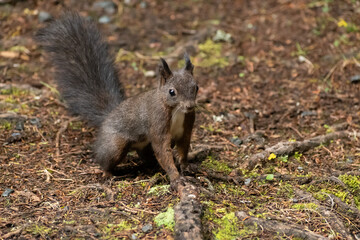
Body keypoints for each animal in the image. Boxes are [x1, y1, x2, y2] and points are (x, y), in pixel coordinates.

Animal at [35, 11, 198, 188]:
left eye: (196, 87)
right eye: (171, 92)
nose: (190, 106)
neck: (175, 111)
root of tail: (108, 116)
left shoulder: (186, 127)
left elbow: (183, 148)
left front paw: (186, 167)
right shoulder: (158, 123)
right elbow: (163, 151)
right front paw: (176, 178)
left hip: (143, 144)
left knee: (145, 155)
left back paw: (153, 165)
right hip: (115, 145)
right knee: (106, 159)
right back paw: (109, 174)